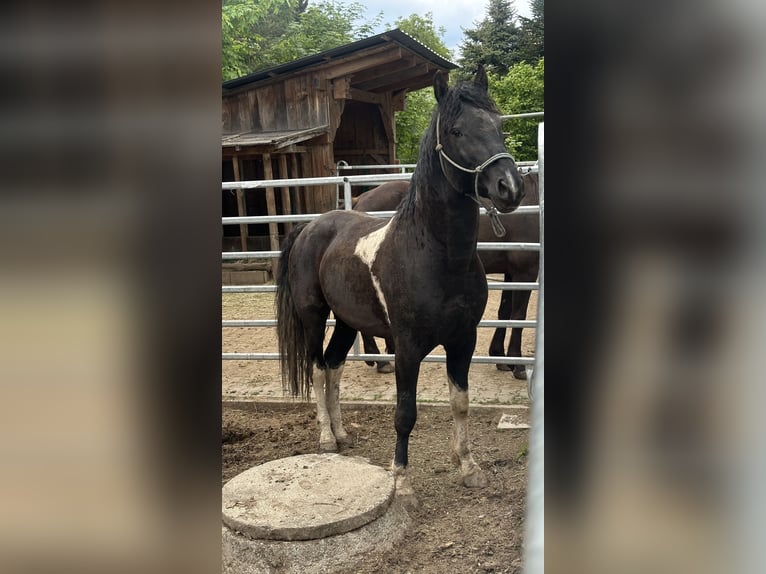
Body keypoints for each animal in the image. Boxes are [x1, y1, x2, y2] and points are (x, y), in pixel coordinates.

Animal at [354, 173, 540, 379]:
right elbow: (519, 315)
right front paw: (518, 365)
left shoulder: (510, 272)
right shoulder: (526, 271)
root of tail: (361, 198)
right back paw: (380, 360)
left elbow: (505, 312)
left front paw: (499, 356)